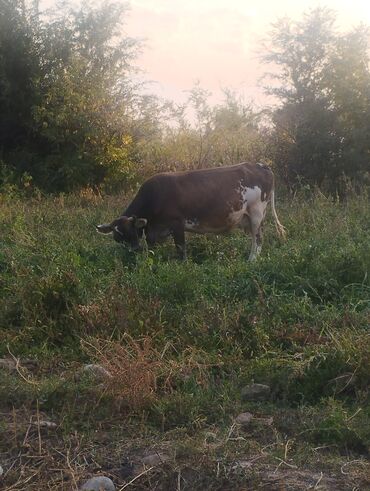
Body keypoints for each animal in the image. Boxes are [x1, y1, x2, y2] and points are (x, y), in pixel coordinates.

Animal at [96, 162, 286, 262]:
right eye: (118, 238)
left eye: (132, 232)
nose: (133, 251)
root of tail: (260, 165)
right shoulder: (153, 232)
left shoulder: (177, 224)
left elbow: (181, 249)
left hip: (256, 213)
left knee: (258, 238)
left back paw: (251, 260)